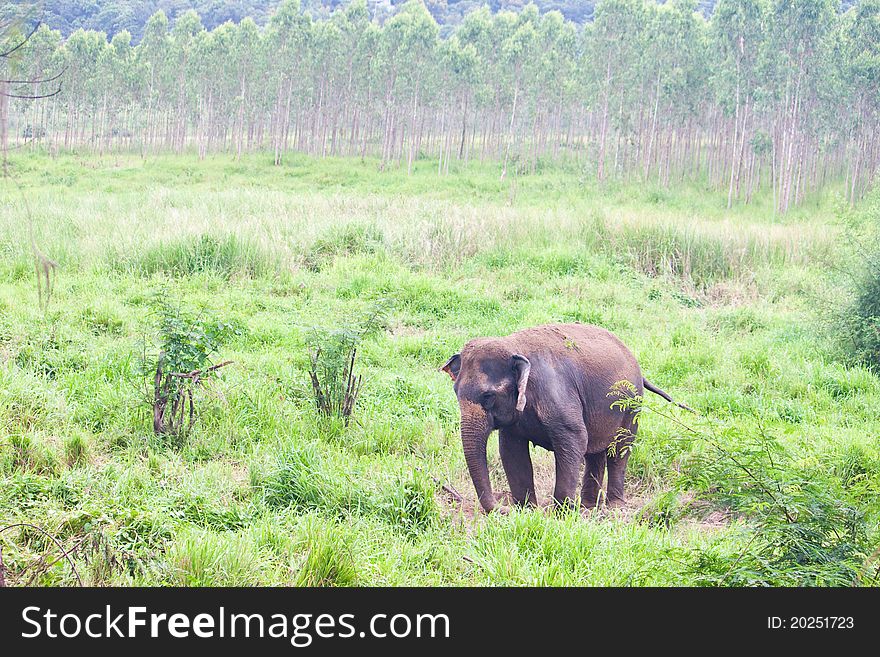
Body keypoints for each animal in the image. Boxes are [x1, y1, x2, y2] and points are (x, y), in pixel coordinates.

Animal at [444, 322, 692, 512]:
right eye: (455, 392)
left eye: (488, 396)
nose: (503, 508)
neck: (513, 346)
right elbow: (511, 451)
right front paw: (527, 511)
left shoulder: (557, 393)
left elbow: (574, 439)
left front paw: (561, 513)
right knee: (594, 452)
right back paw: (589, 507)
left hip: (632, 405)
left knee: (620, 449)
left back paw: (613, 507)